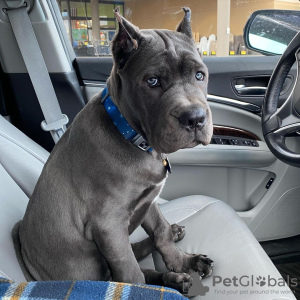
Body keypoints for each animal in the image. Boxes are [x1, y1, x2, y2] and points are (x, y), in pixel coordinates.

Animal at [12, 6, 213, 292]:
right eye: (152, 81)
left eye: (199, 75)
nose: (195, 118)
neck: (130, 134)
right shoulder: (108, 224)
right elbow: (131, 274)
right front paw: (148, 288)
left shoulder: (148, 198)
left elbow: (160, 231)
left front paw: (183, 261)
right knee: (124, 273)